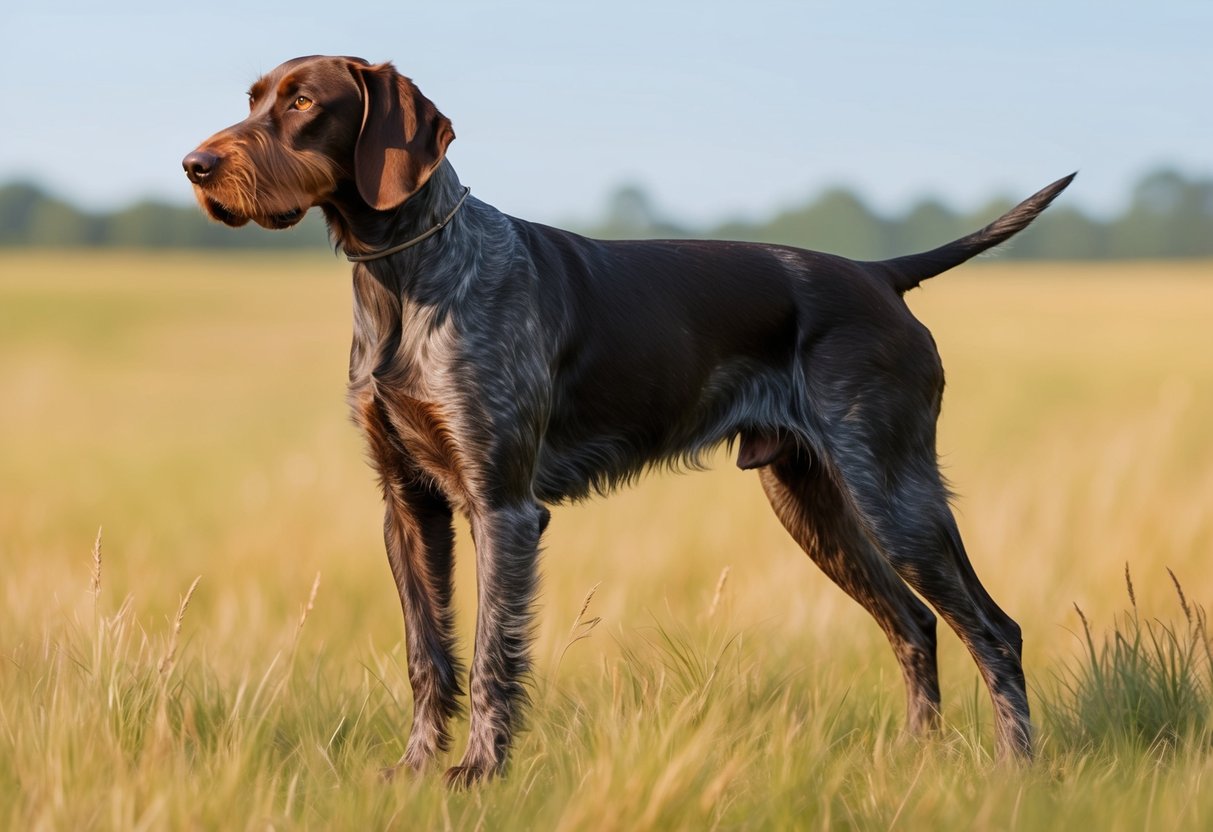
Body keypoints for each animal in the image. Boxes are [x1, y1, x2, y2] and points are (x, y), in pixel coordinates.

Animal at [179, 55, 1072, 785]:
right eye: (254, 99)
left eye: (302, 103)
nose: (195, 165)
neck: (405, 277)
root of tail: (879, 274)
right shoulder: (408, 505)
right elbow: (426, 654)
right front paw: (414, 770)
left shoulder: (501, 506)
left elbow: (491, 650)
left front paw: (478, 772)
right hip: (811, 499)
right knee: (914, 623)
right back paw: (917, 763)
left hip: (891, 490)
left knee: (993, 629)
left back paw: (1013, 773)